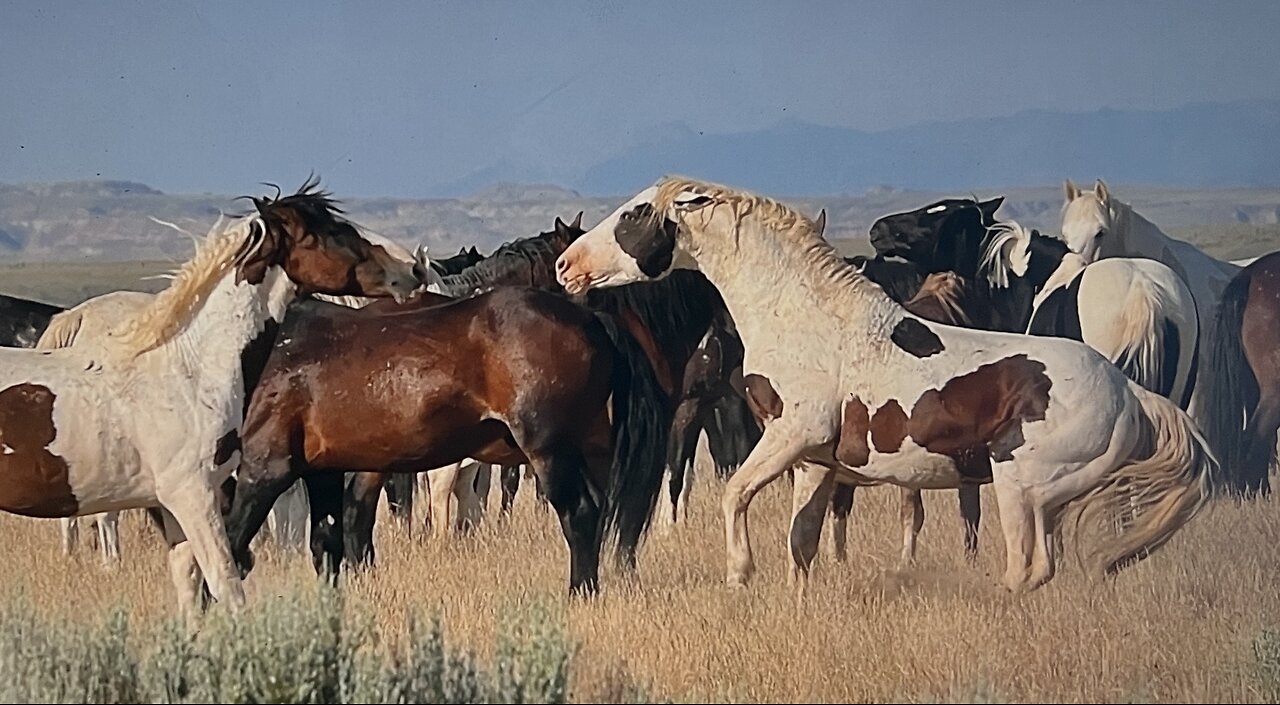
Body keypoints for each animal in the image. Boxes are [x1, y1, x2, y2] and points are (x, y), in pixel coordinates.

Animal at [0, 180, 419, 619]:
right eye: (334, 232)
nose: (413, 270)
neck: (189, 371)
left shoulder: (174, 509)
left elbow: (190, 592)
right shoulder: (193, 496)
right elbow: (226, 584)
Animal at [558, 175, 1218, 596]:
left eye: (634, 215)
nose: (567, 267)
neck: (807, 318)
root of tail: (1130, 394)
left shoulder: (791, 435)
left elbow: (735, 495)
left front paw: (739, 575)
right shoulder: (814, 461)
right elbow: (802, 543)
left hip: (1020, 489)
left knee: (1027, 570)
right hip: (1048, 501)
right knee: (1041, 567)